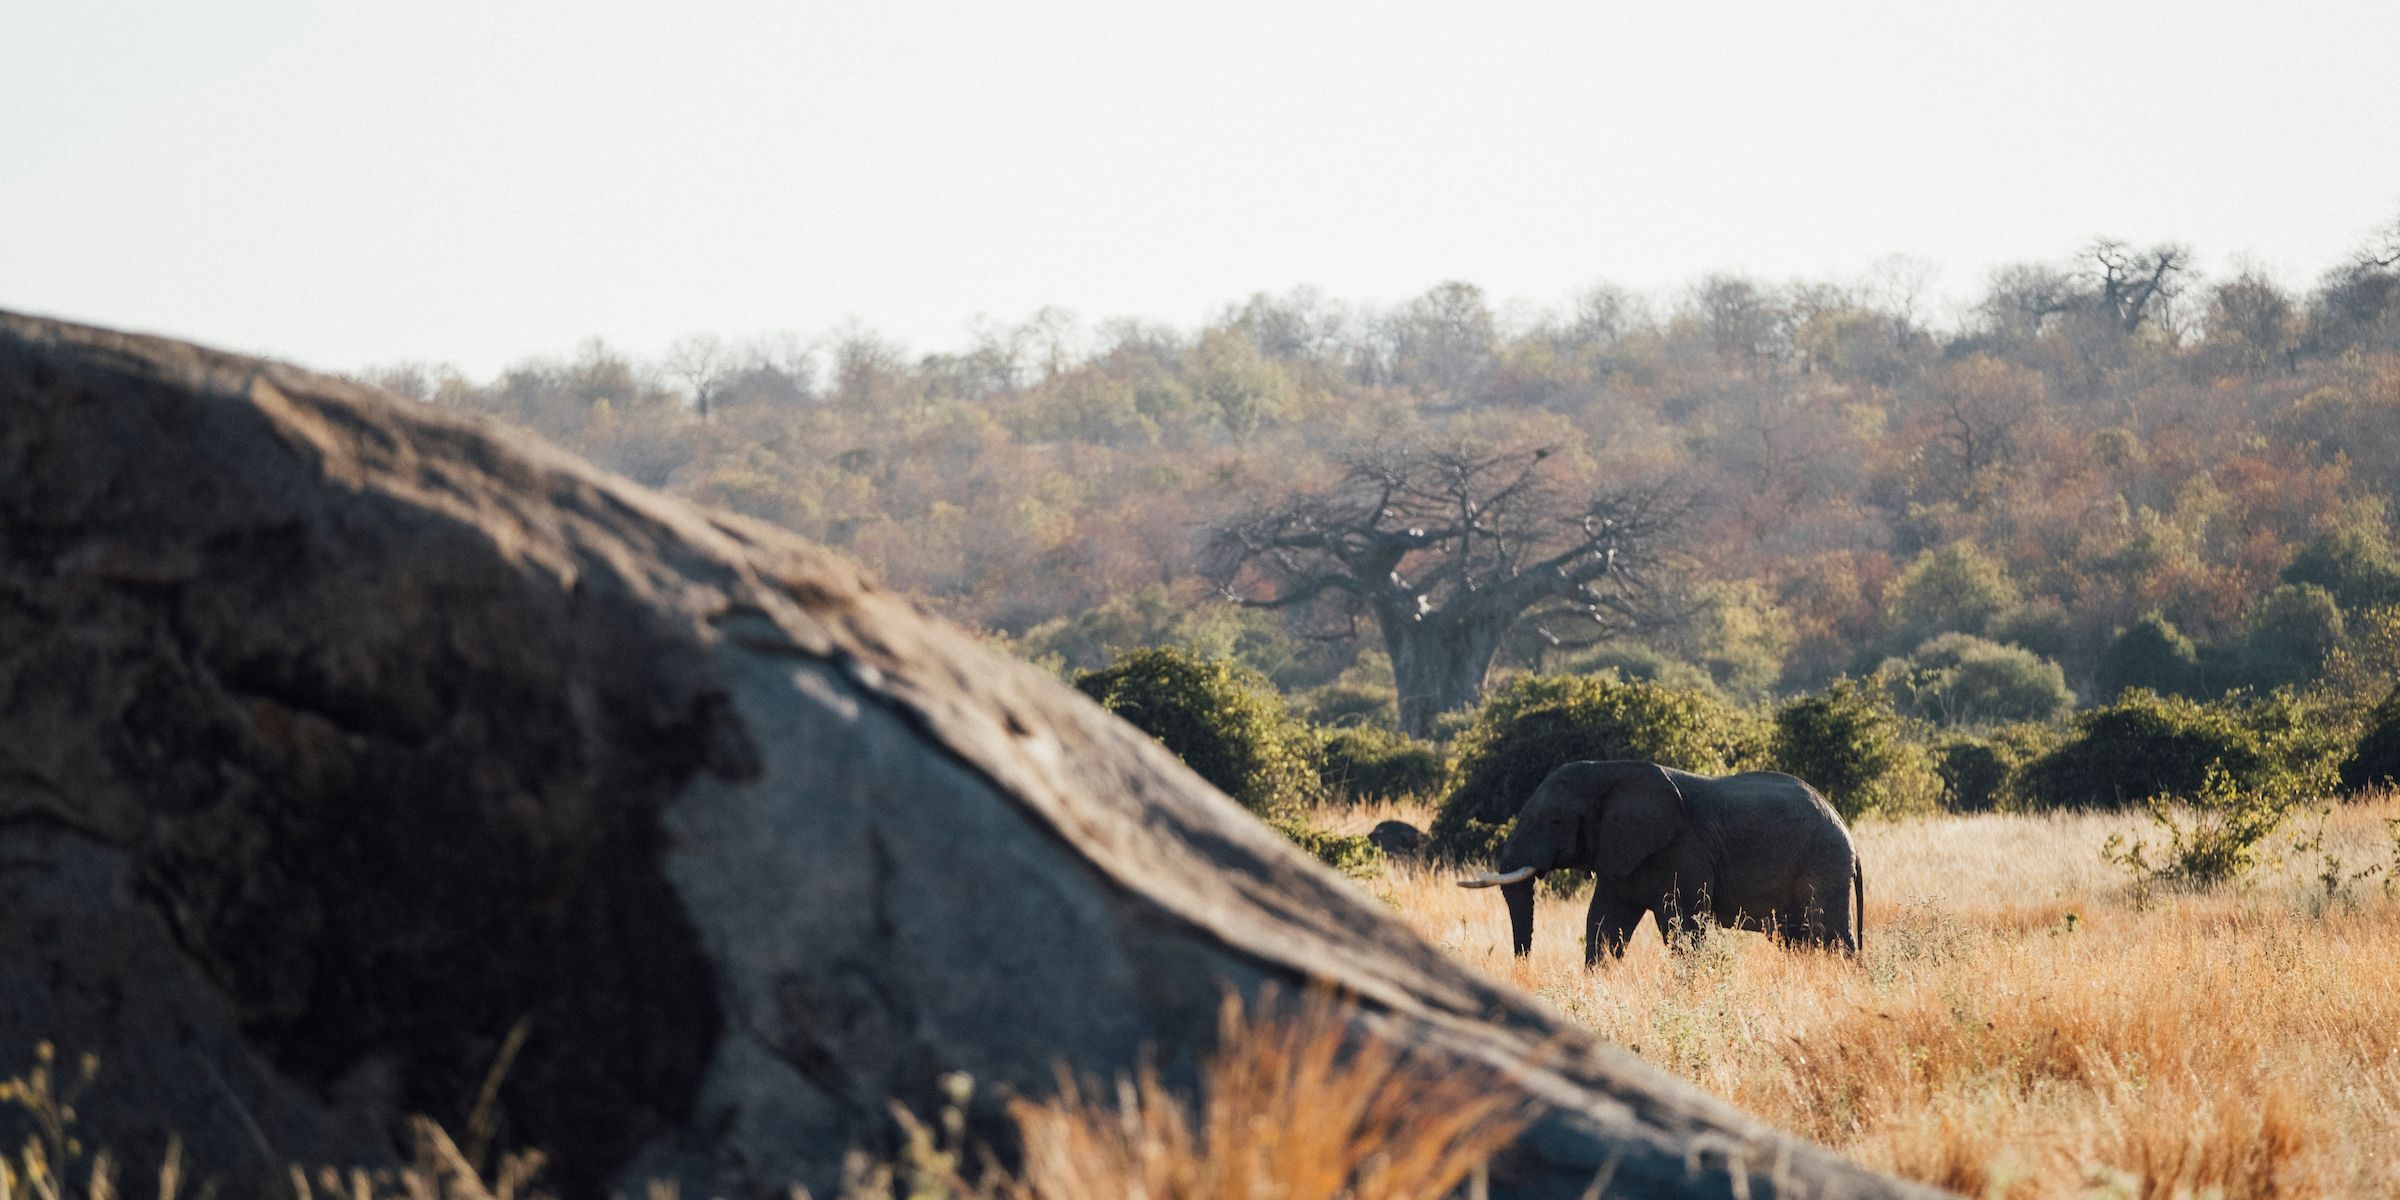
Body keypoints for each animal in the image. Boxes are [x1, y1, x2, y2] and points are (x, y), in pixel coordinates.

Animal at [1458, 760, 1862, 965]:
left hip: (1823, 865)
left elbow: (1681, 926)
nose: (1523, 968)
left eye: (1556, 821)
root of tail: (1848, 833)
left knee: (1829, 936)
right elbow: (1603, 923)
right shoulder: (1620, 853)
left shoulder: (1682, 850)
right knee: (1799, 941)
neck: (1610, 771)